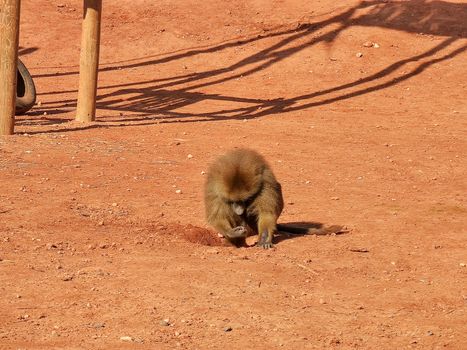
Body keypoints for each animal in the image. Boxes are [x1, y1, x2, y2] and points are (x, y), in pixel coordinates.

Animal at [205, 148, 348, 249]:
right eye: (233, 201)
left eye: (246, 200)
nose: (239, 211)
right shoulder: (213, 189)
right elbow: (217, 217)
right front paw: (233, 232)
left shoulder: (265, 182)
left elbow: (267, 212)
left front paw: (264, 238)